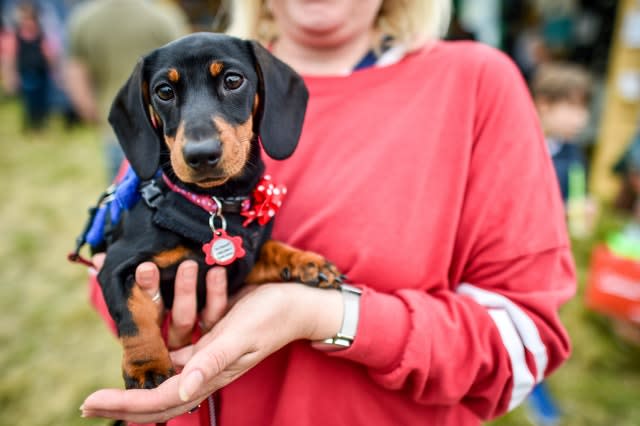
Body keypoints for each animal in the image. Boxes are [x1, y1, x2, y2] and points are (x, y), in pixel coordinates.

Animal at [90, 33, 344, 390]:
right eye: (164, 91)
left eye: (233, 80)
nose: (201, 154)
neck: (215, 205)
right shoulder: (115, 264)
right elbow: (133, 315)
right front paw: (146, 365)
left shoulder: (241, 264)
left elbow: (271, 248)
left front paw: (306, 262)